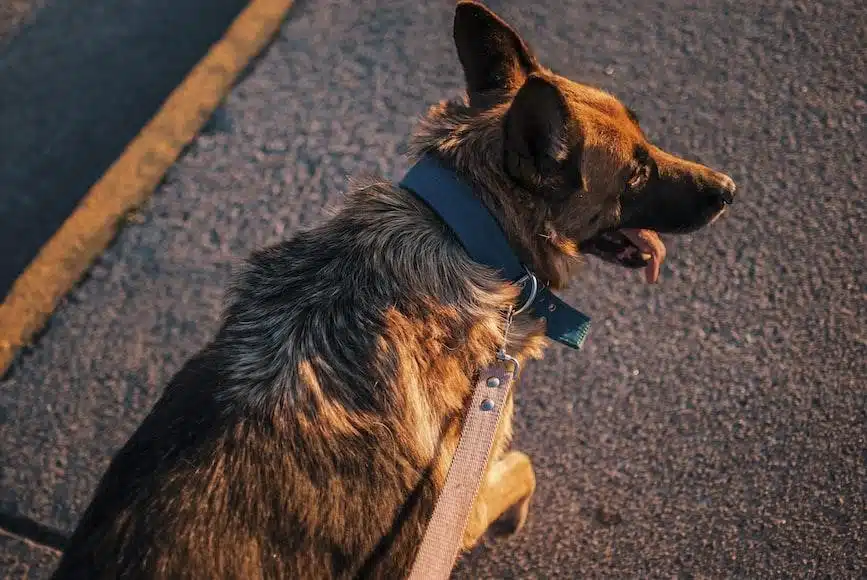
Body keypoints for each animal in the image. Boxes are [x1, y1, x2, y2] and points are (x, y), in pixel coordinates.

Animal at [50, 2, 736, 576]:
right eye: (637, 171)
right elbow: (522, 467)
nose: (729, 189)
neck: (465, 228)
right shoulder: (457, 505)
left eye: (646, 138)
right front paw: (513, 516)